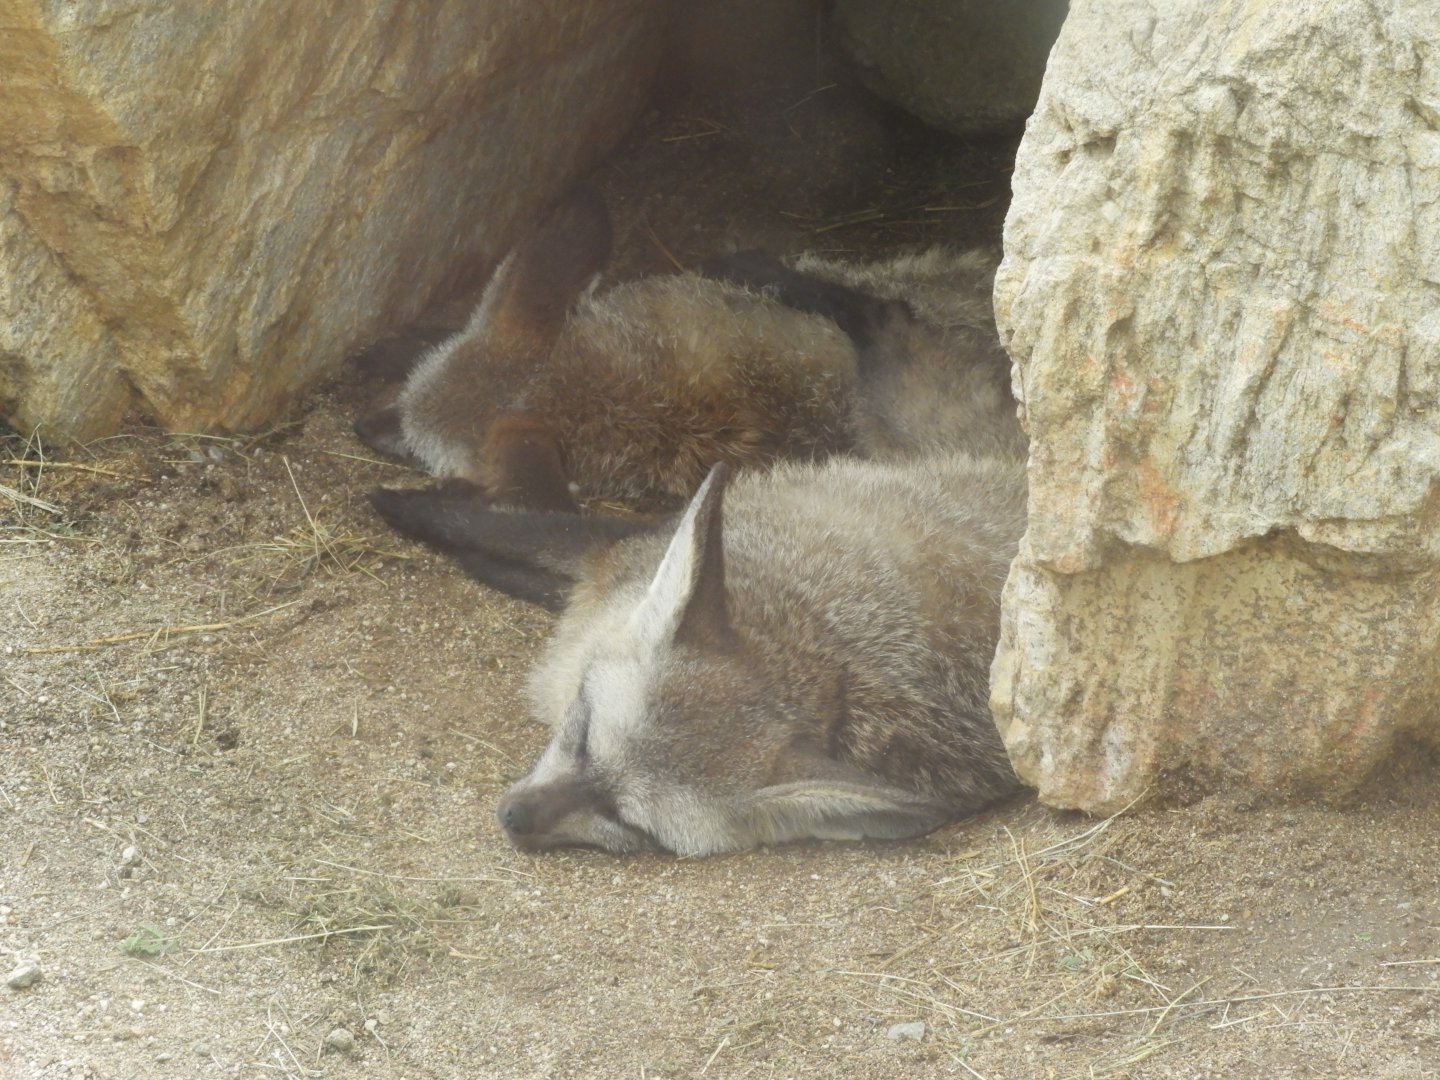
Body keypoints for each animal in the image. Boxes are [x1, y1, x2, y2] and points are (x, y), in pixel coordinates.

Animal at [371, 449, 1027, 856]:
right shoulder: (620, 549)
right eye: (581, 738)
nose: (512, 818)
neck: (812, 638)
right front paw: (397, 505)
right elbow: (495, 528)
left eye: (625, 821)